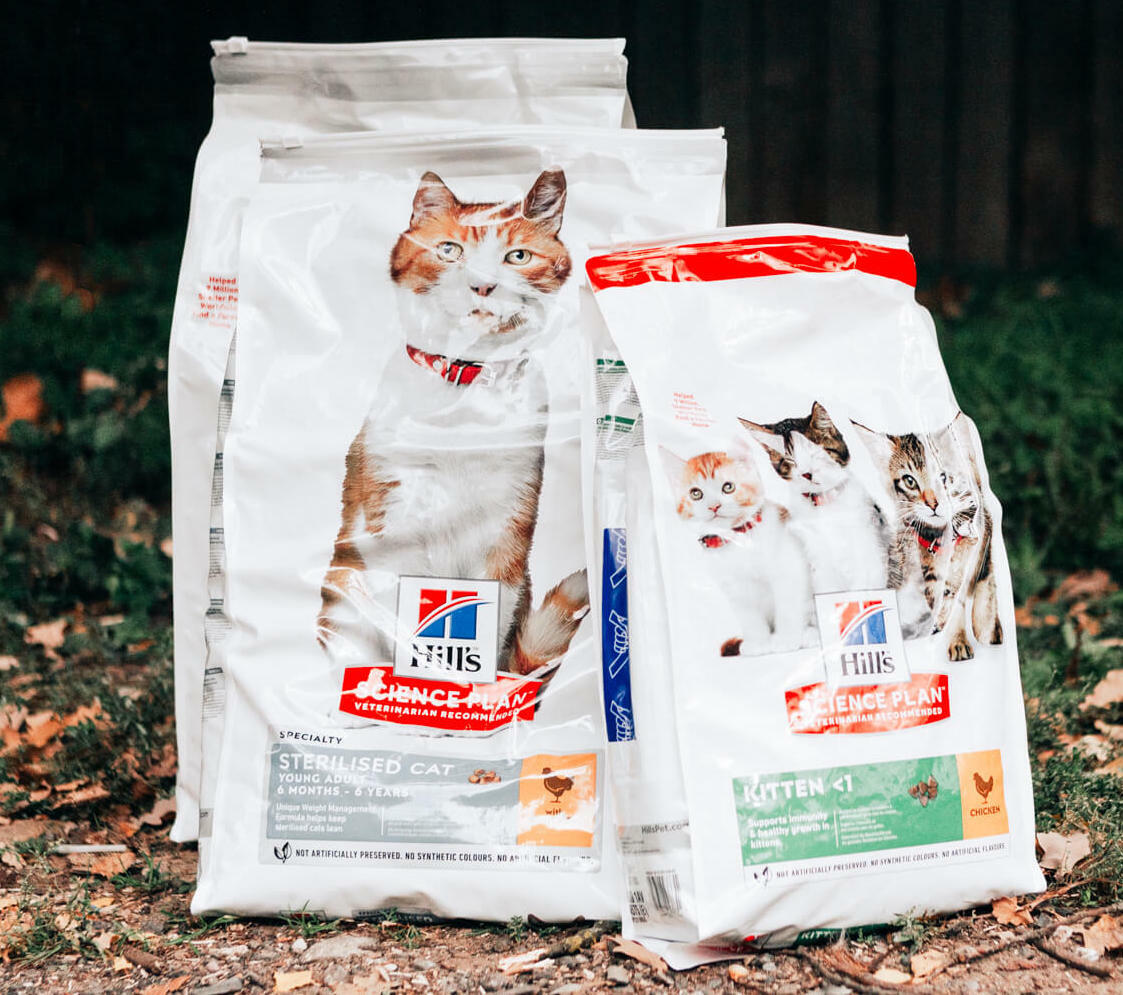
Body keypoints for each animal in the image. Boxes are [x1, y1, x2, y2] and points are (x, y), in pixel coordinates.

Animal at [317, 169, 589, 692]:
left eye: (517, 257)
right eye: (449, 250)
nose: (482, 286)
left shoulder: (507, 531)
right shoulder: (395, 517)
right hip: (344, 585)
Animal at [661, 447, 814, 656]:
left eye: (728, 487)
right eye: (695, 493)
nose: (714, 506)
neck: (737, 542)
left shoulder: (790, 566)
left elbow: (789, 605)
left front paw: (787, 638)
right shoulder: (734, 587)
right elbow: (749, 616)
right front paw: (759, 642)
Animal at [739, 402, 888, 594]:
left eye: (816, 453)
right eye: (789, 461)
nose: (807, 474)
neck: (825, 507)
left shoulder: (870, 546)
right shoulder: (817, 558)